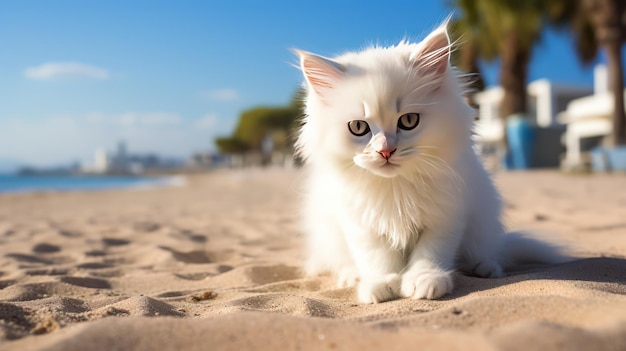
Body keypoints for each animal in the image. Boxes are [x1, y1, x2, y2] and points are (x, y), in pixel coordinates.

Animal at [292, 21, 560, 306]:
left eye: (409, 121)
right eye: (358, 127)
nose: (385, 151)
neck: (396, 187)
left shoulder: (445, 217)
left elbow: (430, 254)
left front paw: (426, 281)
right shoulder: (361, 223)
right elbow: (376, 258)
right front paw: (380, 284)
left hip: (482, 225)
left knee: (488, 252)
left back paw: (484, 267)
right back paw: (351, 276)